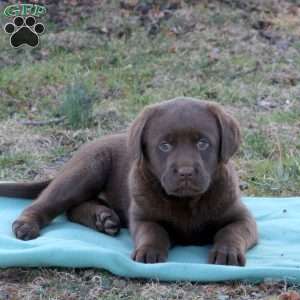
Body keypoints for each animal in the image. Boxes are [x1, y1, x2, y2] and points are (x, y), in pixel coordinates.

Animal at [0, 98, 258, 264]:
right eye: (165, 146)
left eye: (203, 143)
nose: (185, 172)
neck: (187, 202)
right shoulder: (144, 216)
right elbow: (153, 230)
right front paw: (150, 251)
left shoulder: (242, 217)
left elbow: (231, 231)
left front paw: (227, 252)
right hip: (87, 170)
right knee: (50, 203)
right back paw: (26, 225)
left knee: (73, 209)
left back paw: (103, 218)